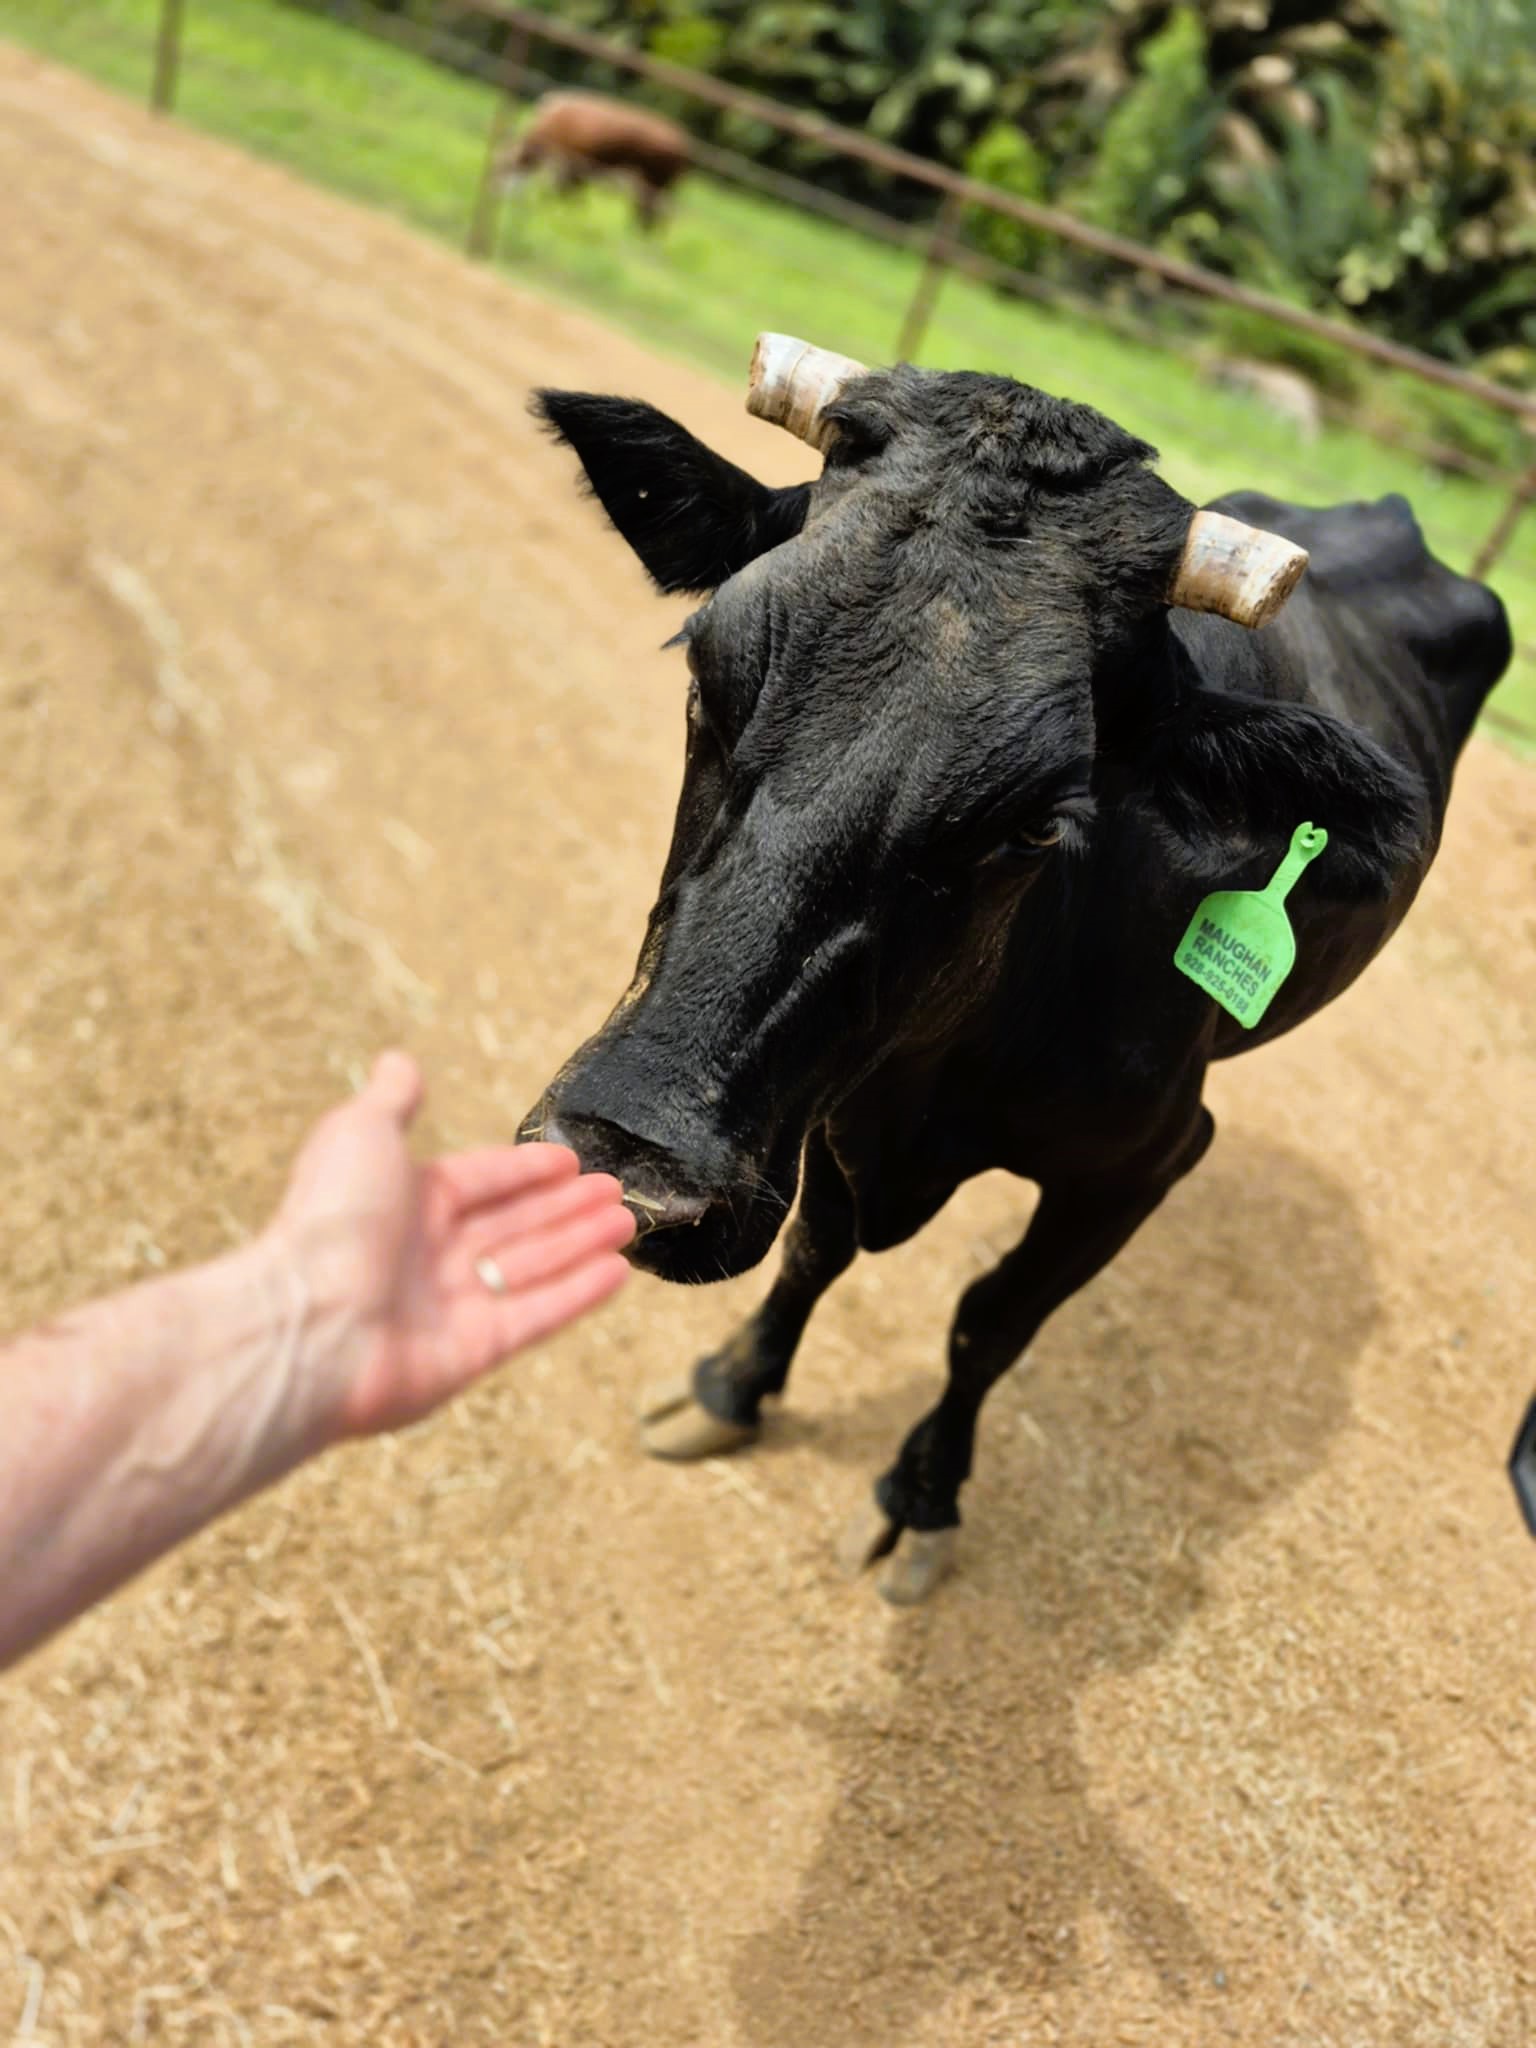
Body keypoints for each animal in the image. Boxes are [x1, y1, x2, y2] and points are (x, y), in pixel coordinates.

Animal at [496, 91, 689, 233]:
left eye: (502, 167)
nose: (494, 190)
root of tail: (683, 144)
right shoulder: (570, 170)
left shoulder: (573, 168)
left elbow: (563, 194)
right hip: (656, 187)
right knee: (657, 214)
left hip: (651, 185)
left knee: (653, 213)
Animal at [521, 333, 1511, 1603]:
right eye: (706, 678)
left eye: (1039, 819)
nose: (629, 1163)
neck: (934, 1089)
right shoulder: (830, 1100)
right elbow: (818, 1246)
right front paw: (734, 1385)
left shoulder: (1148, 1156)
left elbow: (989, 1321)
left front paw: (922, 1496)